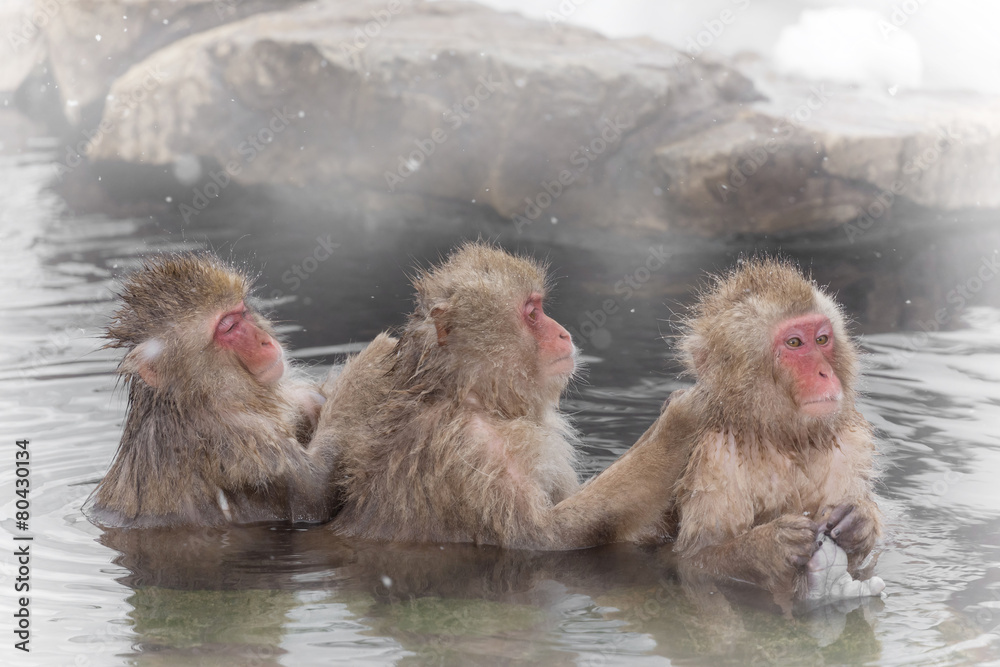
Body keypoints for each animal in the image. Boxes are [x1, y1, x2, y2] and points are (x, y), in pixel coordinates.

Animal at [87, 253, 337, 528]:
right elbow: (316, 495)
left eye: (243, 312)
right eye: (228, 328)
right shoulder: (238, 439)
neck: (197, 400)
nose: (266, 342)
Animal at [312, 242, 694, 549]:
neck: (476, 399)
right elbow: (544, 538)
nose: (563, 333)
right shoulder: (474, 452)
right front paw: (677, 425)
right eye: (533, 313)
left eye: (540, 307)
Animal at [655, 257, 883, 599]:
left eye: (821, 339)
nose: (825, 373)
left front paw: (860, 524)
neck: (782, 437)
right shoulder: (713, 455)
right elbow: (696, 557)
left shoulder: (851, 441)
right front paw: (771, 546)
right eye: (794, 343)